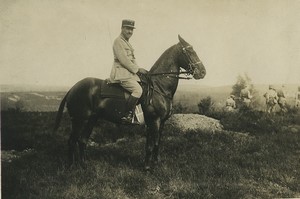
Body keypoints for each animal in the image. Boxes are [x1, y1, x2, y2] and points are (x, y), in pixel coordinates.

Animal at [54, 35, 206, 169]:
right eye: (190, 51)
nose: (203, 72)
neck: (159, 86)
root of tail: (72, 88)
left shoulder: (160, 122)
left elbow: (154, 144)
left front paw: (153, 163)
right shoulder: (154, 120)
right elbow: (153, 144)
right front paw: (148, 167)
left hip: (92, 119)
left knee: (82, 140)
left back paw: (83, 165)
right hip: (79, 120)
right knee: (72, 141)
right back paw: (71, 166)